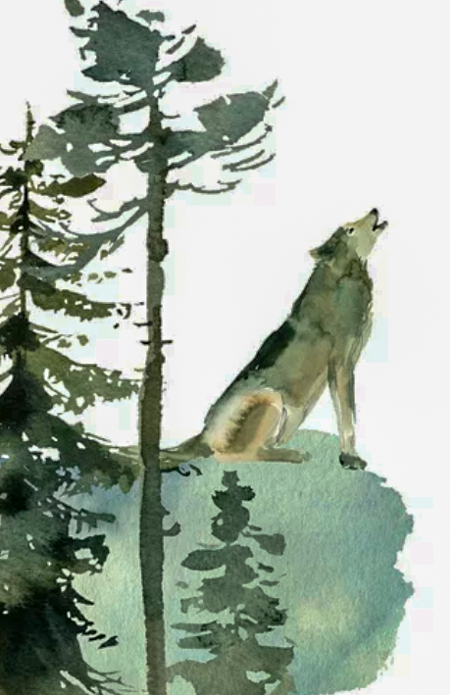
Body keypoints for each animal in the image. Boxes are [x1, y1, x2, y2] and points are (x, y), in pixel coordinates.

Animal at [160, 208, 387, 472]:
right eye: (350, 229)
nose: (374, 210)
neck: (345, 278)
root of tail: (203, 434)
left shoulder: (347, 366)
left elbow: (349, 416)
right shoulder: (340, 368)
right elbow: (347, 419)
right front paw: (349, 457)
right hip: (271, 399)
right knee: (235, 456)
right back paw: (294, 454)